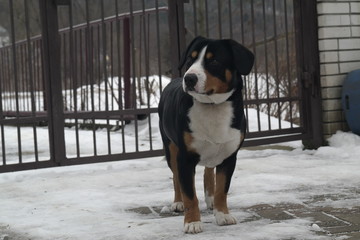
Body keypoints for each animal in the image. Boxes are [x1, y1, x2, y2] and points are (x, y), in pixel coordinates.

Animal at [159, 36, 255, 232]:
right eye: (191, 58)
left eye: (214, 60)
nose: (189, 78)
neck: (212, 106)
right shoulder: (185, 157)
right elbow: (189, 194)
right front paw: (192, 222)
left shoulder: (229, 156)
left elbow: (222, 189)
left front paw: (223, 214)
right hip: (170, 148)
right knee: (176, 178)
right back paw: (178, 202)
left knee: (208, 170)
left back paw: (210, 198)